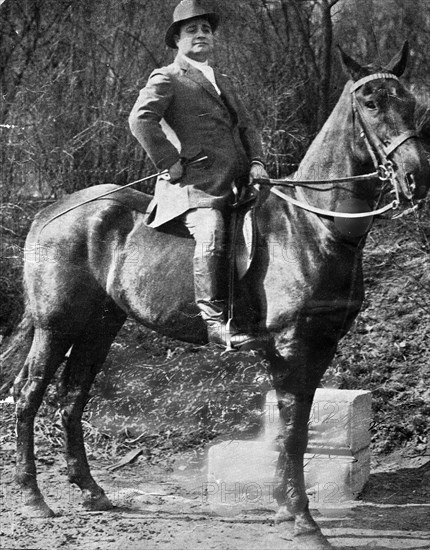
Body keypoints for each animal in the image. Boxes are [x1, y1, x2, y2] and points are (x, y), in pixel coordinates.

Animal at [0, 44, 430, 550]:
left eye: (410, 103)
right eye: (370, 102)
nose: (416, 176)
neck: (314, 226)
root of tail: (52, 211)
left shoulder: (320, 346)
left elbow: (296, 425)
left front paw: (285, 508)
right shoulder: (293, 346)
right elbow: (292, 432)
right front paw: (303, 520)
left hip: (101, 325)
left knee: (72, 397)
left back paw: (91, 491)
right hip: (57, 325)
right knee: (29, 394)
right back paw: (33, 497)